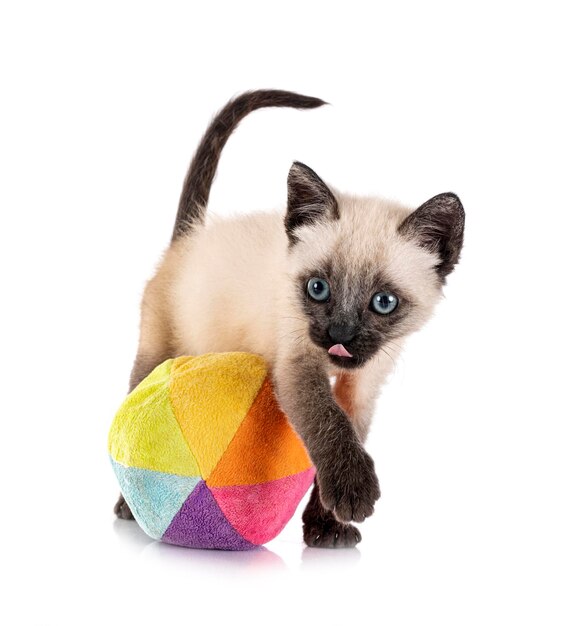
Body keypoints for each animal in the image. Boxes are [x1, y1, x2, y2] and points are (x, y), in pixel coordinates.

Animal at [114, 88, 464, 544]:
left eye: (384, 302)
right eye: (318, 288)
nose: (340, 334)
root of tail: (188, 238)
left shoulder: (363, 383)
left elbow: (350, 429)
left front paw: (327, 524)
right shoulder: (297, 364)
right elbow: (327, 422)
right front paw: (353, 492)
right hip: (158, 353)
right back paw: (128, 509)